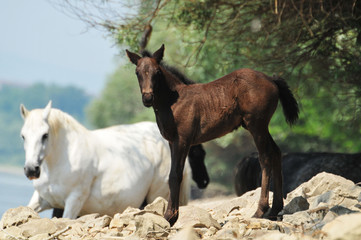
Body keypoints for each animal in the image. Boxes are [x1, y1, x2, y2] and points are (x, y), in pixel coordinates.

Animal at [20, 100, 190, 218]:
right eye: (23, 136)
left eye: (45, 135)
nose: (31, 170)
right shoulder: (41, 200)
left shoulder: (73, 201)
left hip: (157, 196)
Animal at [126, 44, 298, 225]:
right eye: (137, 72)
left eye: (157, 72)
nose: (147, 98)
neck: (173, 101)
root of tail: (271, 79)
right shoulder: (172, 142)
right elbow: (172, 175)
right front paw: (171, 216)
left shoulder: (182, 140)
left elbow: (175, 175)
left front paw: (170, 217)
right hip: (260, 127)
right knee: (276, 152)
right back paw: (275, 209)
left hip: (256, 125)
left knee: (265, 157)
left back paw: (260, 210)